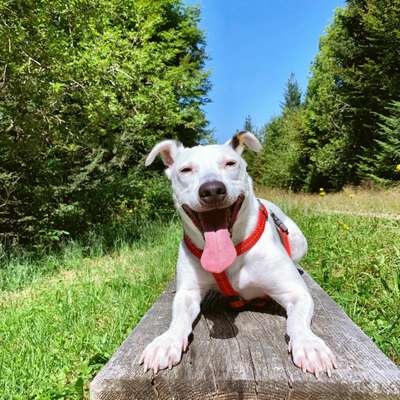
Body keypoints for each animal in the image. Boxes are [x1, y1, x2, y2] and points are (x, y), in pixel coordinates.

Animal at [141, 132, 338, 378]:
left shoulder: (296, 293)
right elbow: (178, 318)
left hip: (300, 241)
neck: (233, 251)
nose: (212, 189)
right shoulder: (187, 293)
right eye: (186, 170)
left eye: (230, 163)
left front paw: (310, 345)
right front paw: (166, 342)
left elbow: (298, 322)